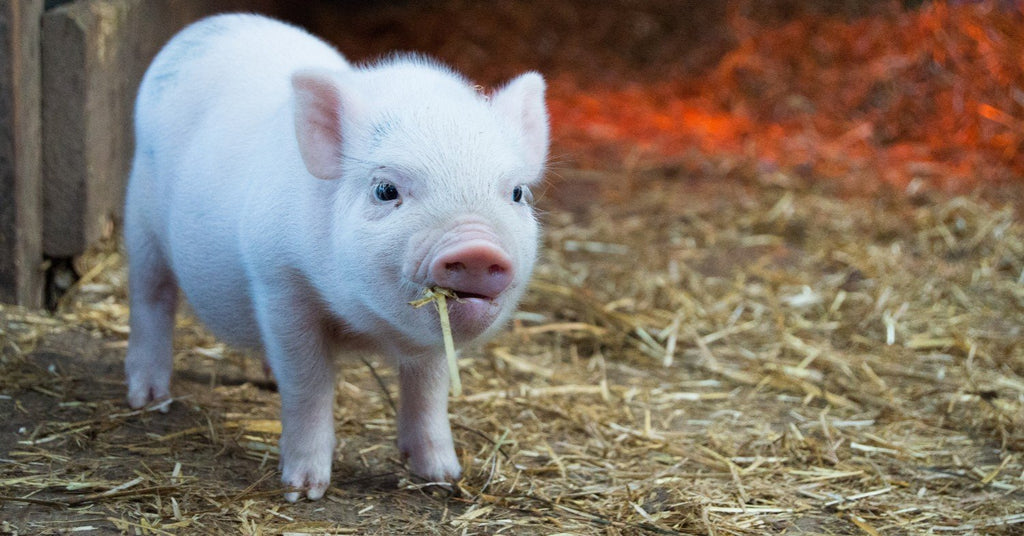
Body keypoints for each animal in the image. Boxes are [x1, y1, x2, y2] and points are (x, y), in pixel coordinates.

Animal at [123, 13, 548, 502]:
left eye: (516, 193)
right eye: (385, 190)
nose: (477, 248)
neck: (366, 326)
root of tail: (210, 24)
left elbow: (429, 389)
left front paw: (443, 476)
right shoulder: (279, 283)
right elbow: (308, 384)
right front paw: (303, 491)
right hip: (140, 219)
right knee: (151, 297)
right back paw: (148, 399)